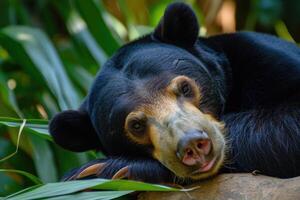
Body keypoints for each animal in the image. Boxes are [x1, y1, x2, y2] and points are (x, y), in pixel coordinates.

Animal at [48, 2, 300, 184]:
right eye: (135, 126)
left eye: (185, 88)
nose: (193, 145)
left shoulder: (268, 59)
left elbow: (290, 124)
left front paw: (106, 169)